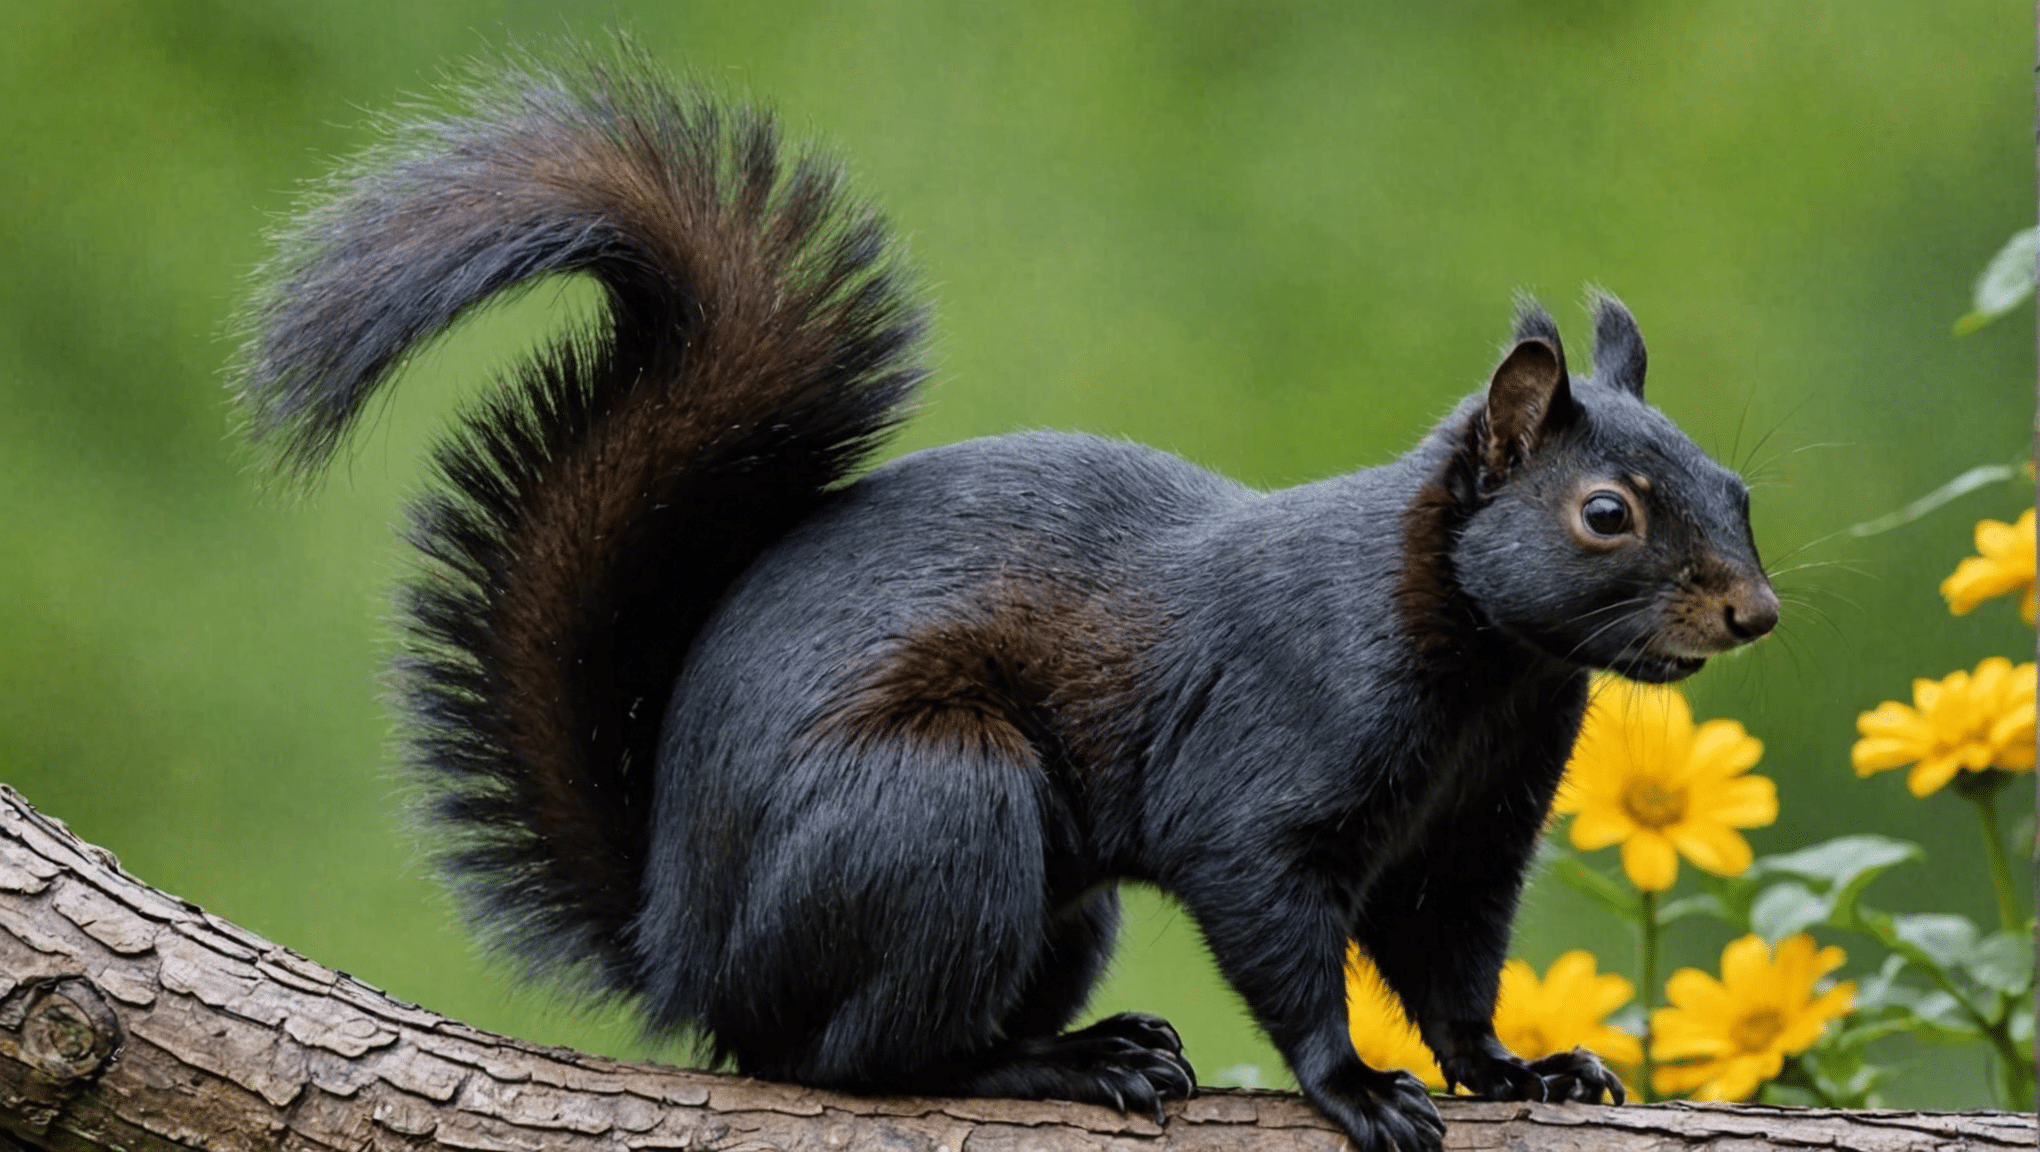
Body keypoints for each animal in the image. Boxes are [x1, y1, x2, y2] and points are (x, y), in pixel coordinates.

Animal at [231, 49, 1778, 1141]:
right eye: (1606, 514)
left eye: (1738, 483)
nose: (1752, 612)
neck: (1491, 675)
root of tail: (687, 948)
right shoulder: (1263, 778)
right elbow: (1283, 939)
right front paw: (1354, 1087)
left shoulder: (1472, 833)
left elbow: (1451, 973)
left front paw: (1521, 1070)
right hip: (948, 804)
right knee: (856, 1061)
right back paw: (1066, 1066)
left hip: (1051, 901)